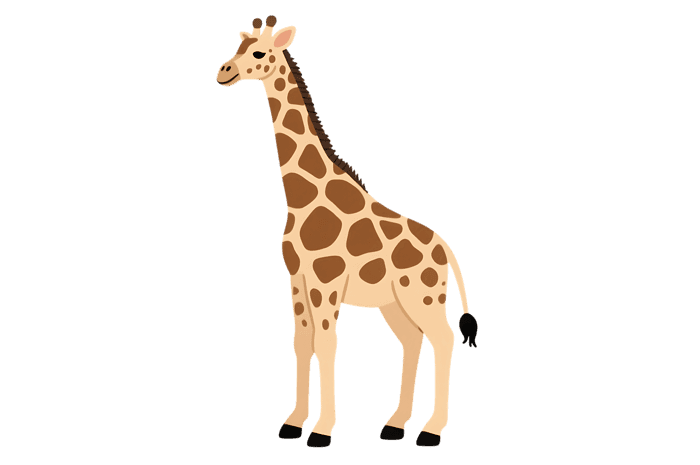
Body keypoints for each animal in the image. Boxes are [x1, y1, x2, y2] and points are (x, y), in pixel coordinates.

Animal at [215, 15, 478, 448]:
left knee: (441, 339)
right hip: (394, 302)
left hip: (424, 296)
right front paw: (293, 423)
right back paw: (395, 424)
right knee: (412, 340)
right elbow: (301, 343)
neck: (300, 196)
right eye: (238, 48)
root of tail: (445, 249)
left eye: (259, 52)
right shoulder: (297, 278)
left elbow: (327, 345)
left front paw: (322, 430)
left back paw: (431, 430)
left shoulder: (326, 280)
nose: (224, 71)